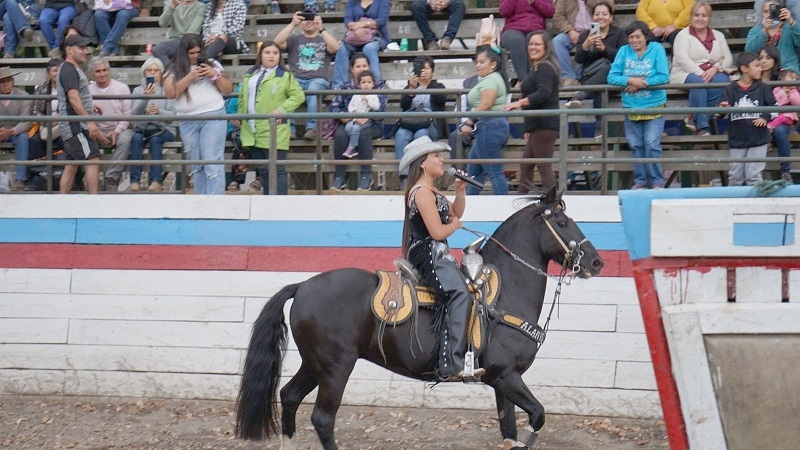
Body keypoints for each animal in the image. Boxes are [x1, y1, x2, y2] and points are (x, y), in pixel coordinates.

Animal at [234, 188, 604, 448]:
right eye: (562, 222)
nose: (596, 262)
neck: (503, 293)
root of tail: (302, 286)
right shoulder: (506, 375)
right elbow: (538, 416)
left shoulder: (502, 381)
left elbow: (509, 430)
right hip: (336, 367)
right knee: (323, 418)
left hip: (315, 364)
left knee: (289, 397)